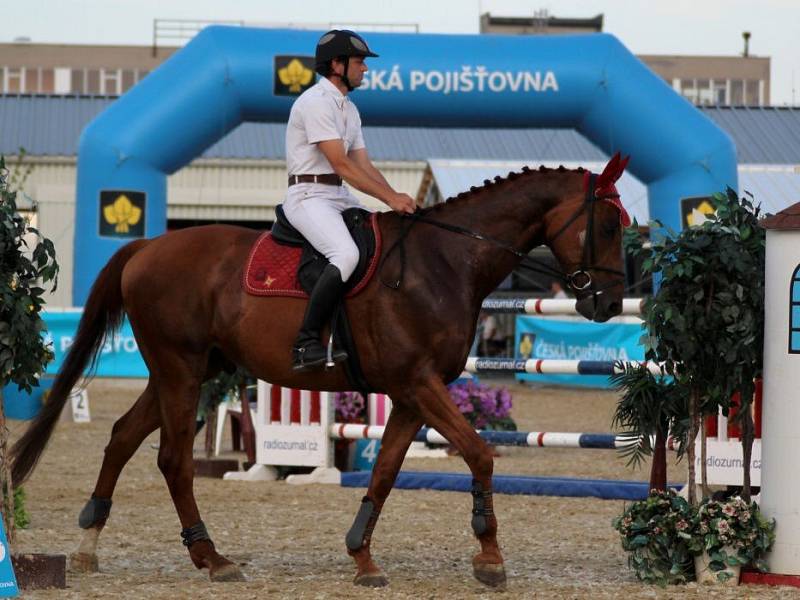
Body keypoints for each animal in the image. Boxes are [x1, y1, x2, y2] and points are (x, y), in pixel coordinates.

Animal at [9, 152, 628, 588]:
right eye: (609, 226)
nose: (610, 304)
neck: (444, 263)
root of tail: (146, 247)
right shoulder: (418, 383)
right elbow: (479, 452)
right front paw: (490, 556)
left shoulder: (409, 395)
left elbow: (385, 473)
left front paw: (362, 556)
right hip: (180, 371)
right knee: (173, 461)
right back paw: (212, 557)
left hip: (183, 372)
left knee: (121, 437)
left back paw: (89, 545)